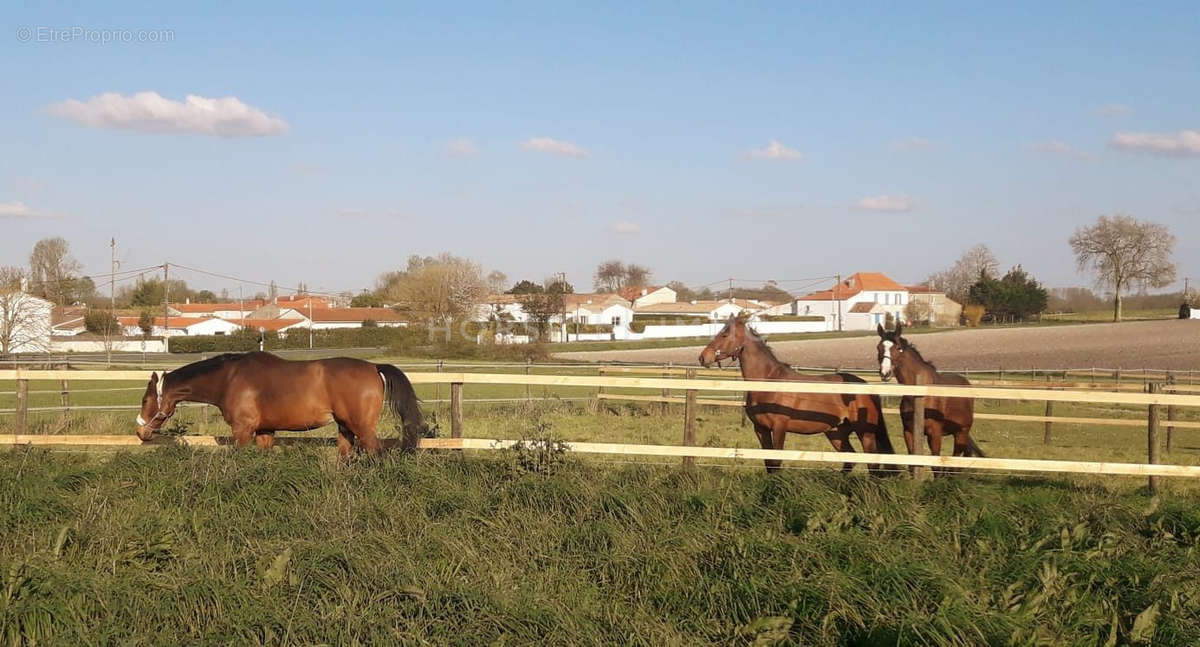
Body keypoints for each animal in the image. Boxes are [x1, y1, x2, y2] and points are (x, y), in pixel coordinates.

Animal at [135, 352, 427, 458]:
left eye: (146, 400)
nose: (140, 431)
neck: (229, 378)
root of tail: (374, 367)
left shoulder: (243, 431)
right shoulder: (265, 432)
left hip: (362, 428)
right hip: (345, 428)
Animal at [696, 314, 892, 472]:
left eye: (724, 335)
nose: (703, 357)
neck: (768, 382)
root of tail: (866, 386)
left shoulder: (779, 427)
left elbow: (776, 463)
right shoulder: (760, 429)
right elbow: (768, 464)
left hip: (865, 433)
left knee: (872, 464)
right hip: (836, 432)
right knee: (849, 460)